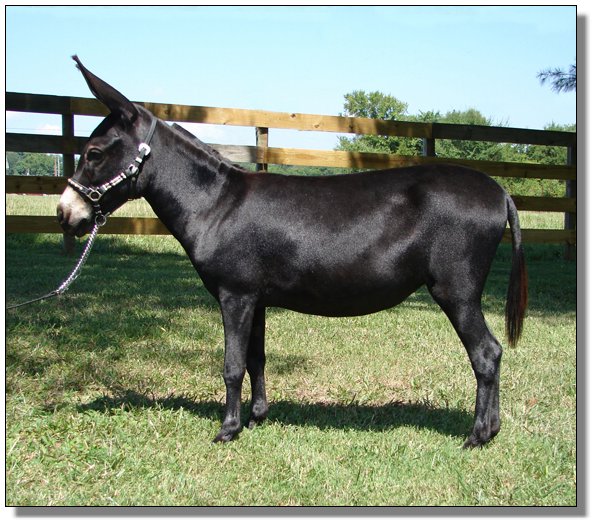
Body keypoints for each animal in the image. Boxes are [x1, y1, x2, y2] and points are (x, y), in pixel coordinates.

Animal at [58, 56, 527, 447]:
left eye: (93, 153)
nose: (65, 214)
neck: (215, 203)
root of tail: (500, 190)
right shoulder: (256, 299)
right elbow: (256, 358)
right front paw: (256, 417)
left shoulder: (234, 295)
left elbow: (231, 364)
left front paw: (227, 430)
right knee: (491, 353)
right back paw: (492, 430)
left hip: (455, 290)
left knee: (486, 353)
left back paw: (477, 437)